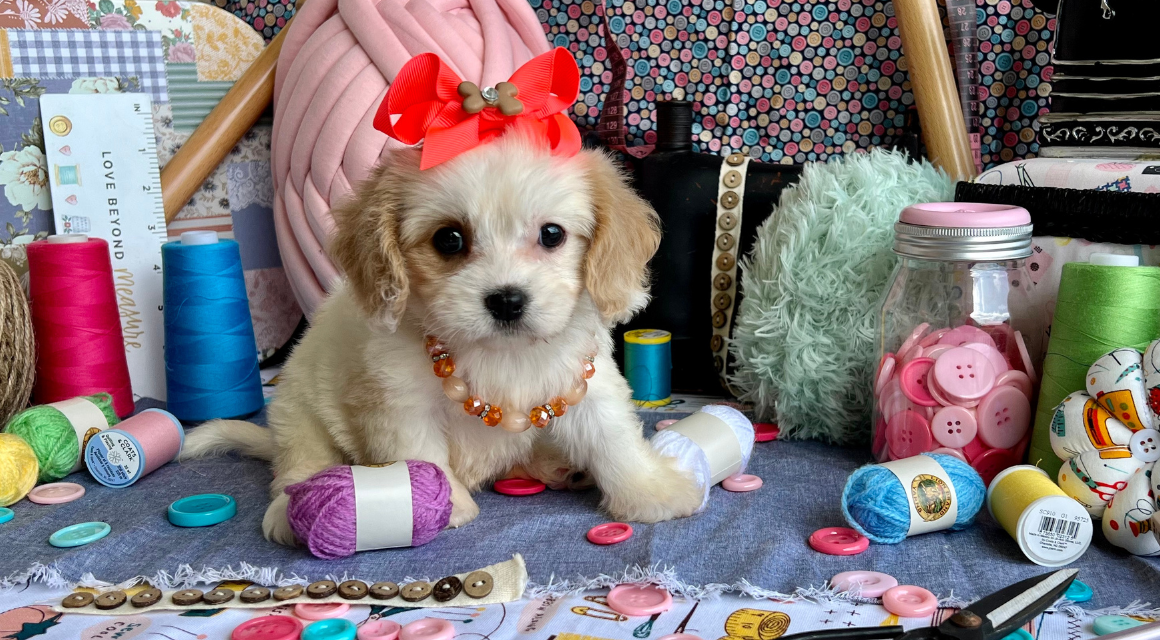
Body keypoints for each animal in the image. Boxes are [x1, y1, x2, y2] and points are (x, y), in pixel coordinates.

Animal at [183, 126, 705, 544]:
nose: (507, 300)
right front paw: (443, 506)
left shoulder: (586, 384)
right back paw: (286, 513)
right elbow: (423, 456)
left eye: (552, 234)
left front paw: (651, 491)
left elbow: (613, 439)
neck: (502, 353)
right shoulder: (400, 404)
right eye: (449, 239)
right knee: (300, 465)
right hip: (300, 417)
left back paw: (553, 465)